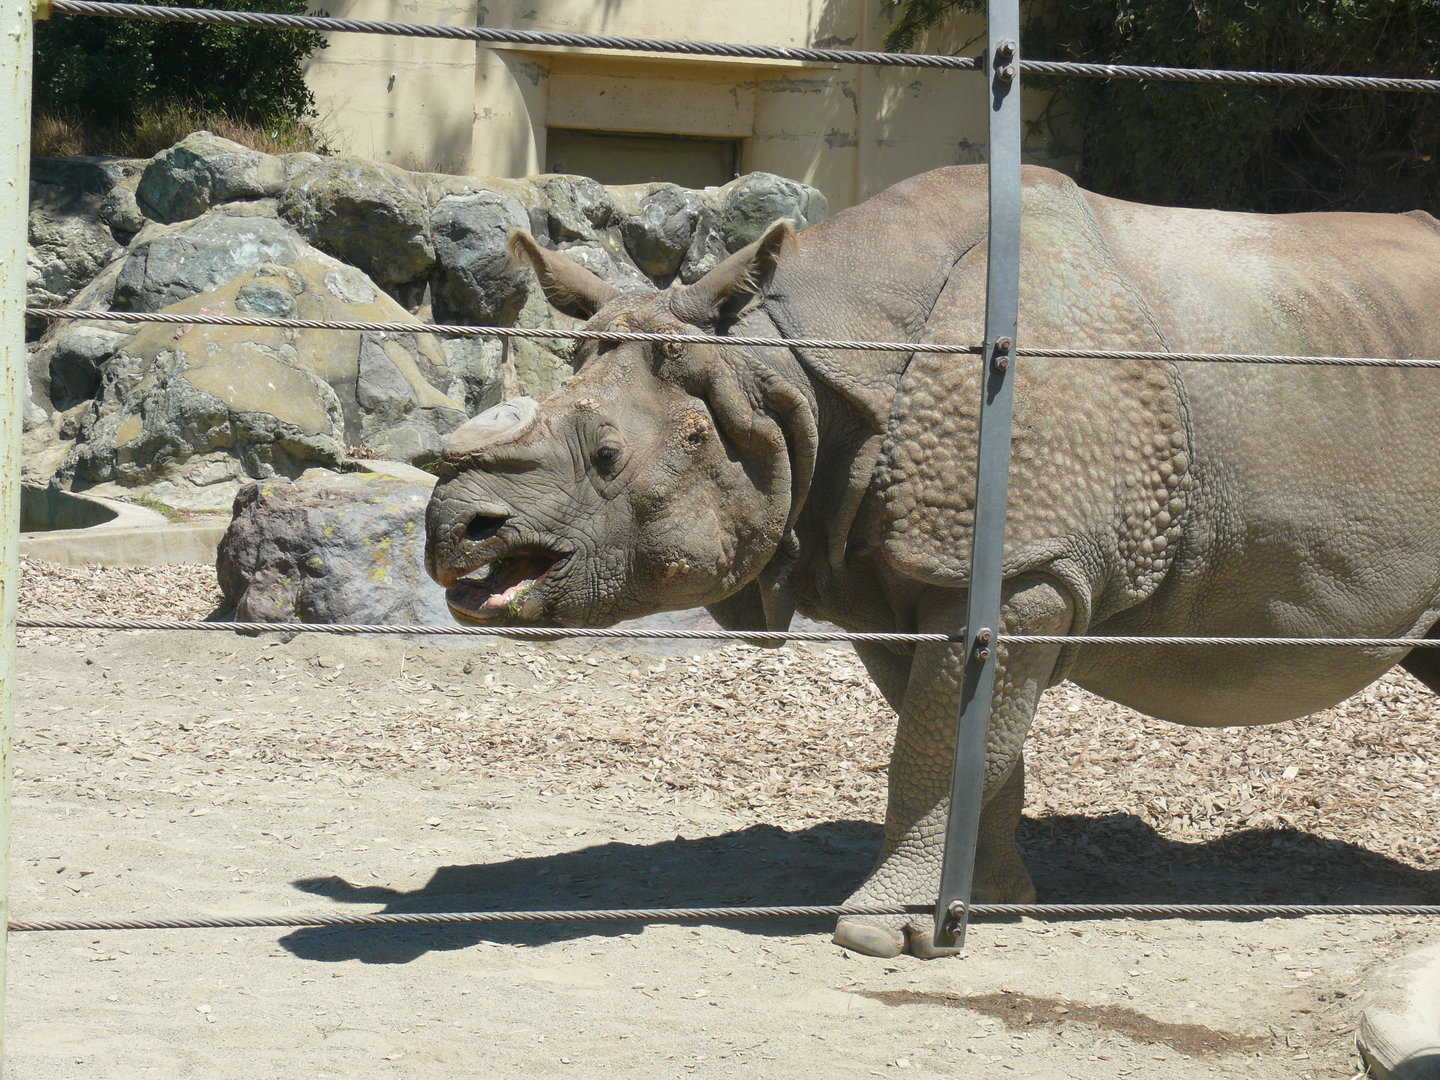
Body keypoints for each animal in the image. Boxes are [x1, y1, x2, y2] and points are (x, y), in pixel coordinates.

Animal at [424, 165, 1440, 958]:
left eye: (605, 459)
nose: (453, 531)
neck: (781, 370)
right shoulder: (897, 574)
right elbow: (965, 736)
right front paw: (983, 903)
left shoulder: (1026, 568)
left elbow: (937, 739)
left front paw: (880, 931)